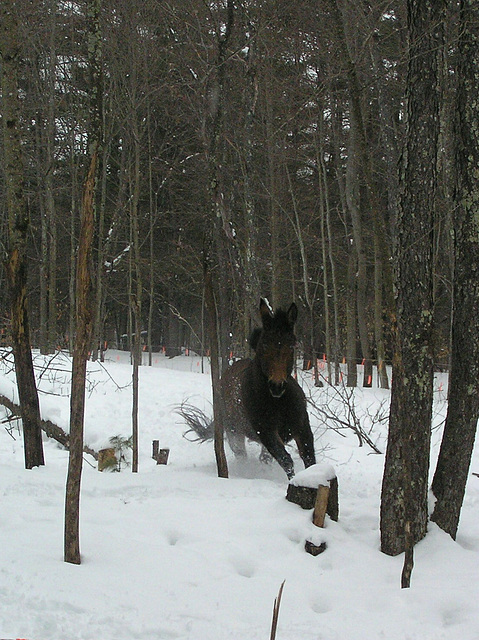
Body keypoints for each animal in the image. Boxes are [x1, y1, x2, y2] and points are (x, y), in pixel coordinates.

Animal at [220, 298, 316, 478]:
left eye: (291, 345)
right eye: (264, 344)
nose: (277, 386)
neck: (279, 403)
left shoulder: (302, 428)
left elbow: (309, 458)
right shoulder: (266, 433)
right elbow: (286, 461)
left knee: (263, 458)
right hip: (234, 433)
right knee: (242, 456)